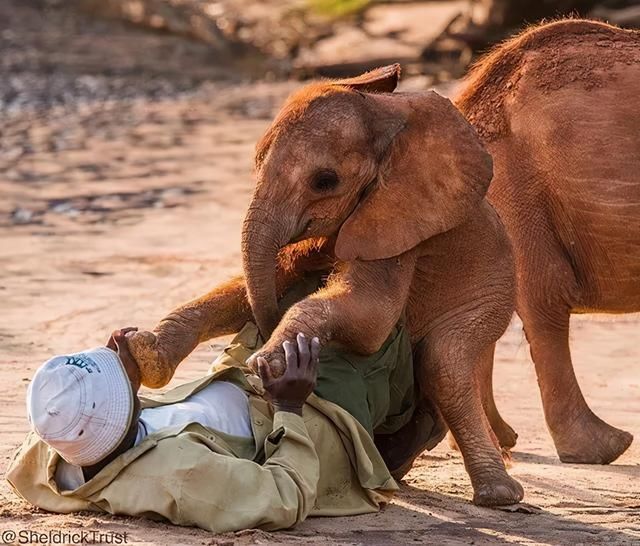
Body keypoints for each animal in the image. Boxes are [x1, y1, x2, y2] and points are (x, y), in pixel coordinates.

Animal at [242, 65, 524, 506]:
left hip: (494, 298)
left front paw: (269, 364)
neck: (384, 118)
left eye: (325, 181)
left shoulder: (399, 221)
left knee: (444, 361)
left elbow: (372, 318)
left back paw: (499, 495)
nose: (262, 331)